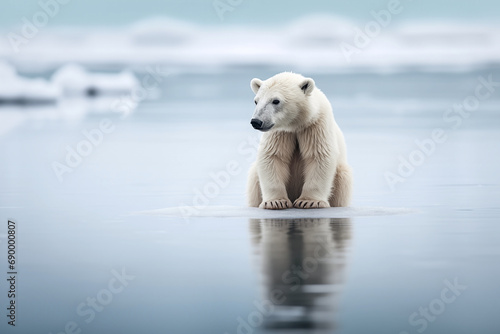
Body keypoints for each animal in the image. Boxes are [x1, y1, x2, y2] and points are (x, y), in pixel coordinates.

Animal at [247, 72, 352, 210]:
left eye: (276, 100)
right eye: (256, 101)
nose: (256, 121)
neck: (296, 124)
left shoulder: (315, 126)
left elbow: (319, 156)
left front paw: (310, 202)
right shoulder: (280, 132)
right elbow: (273, 156)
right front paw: (275, 202)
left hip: (341, 178)